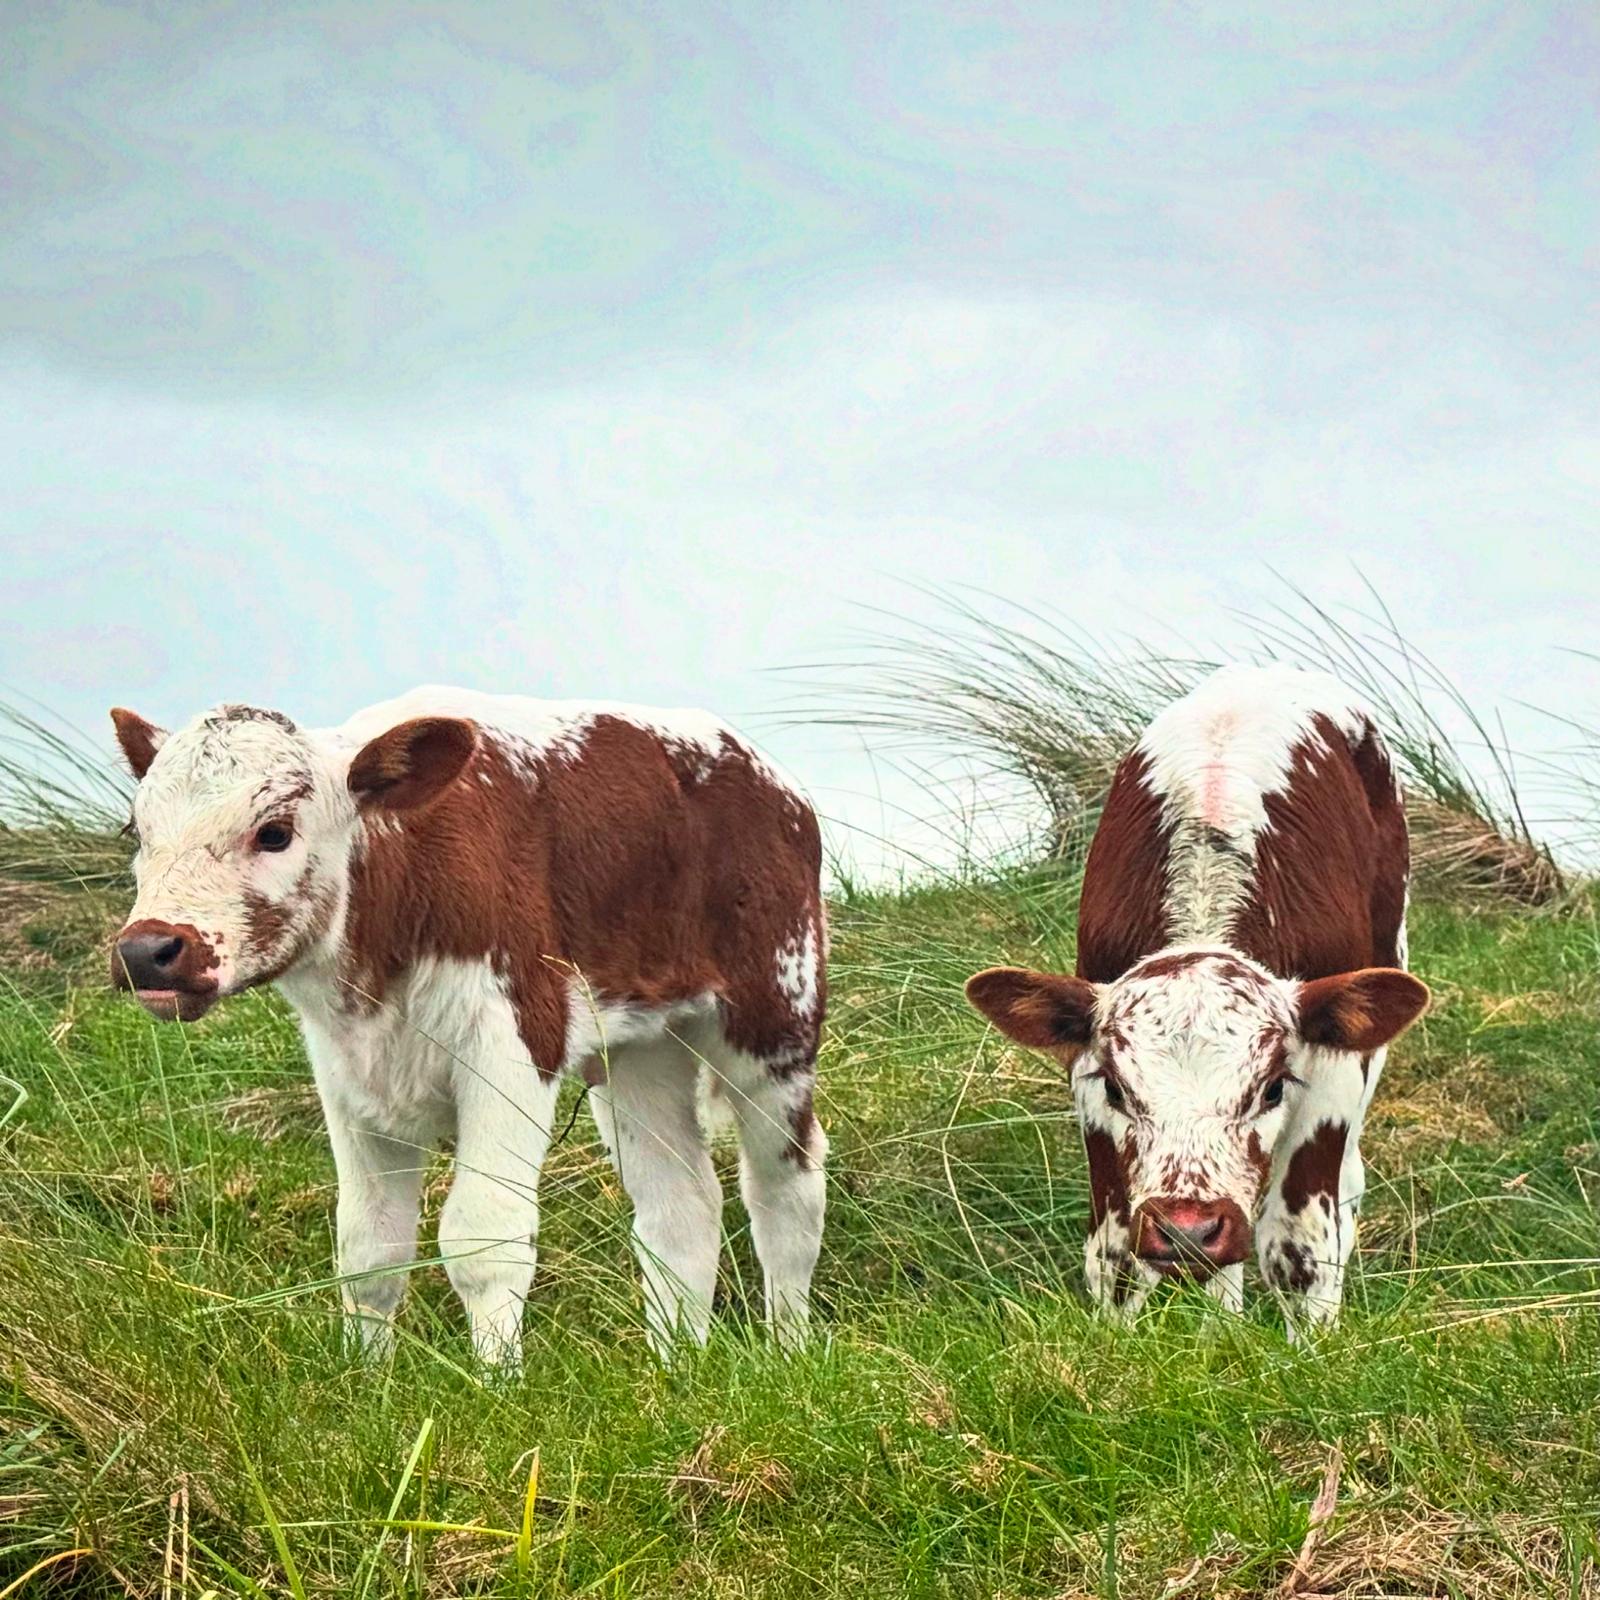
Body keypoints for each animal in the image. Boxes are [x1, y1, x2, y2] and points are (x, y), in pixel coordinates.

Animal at [108, 687, 827, 1365]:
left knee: (785, 1186)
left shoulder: (513, 1039)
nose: (148, 950)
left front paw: (497, 1386)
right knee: (681, 1203)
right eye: (137, 831)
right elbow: (369, 1248)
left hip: (775, 1015)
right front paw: (368, 1382)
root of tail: (769, 778)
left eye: (275, 832)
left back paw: (787, 1351)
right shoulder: (346, 1071)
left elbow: (485, 1238)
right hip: (644, 1044)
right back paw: (674, 1365)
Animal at [964, 664, 1429, 1329]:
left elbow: (1298, 1244)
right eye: (1117, 1089)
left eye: (1272, 1089)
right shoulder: (1087, 1067)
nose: (1188, 1231)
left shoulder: (1331, 1067)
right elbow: (1115, 1254)